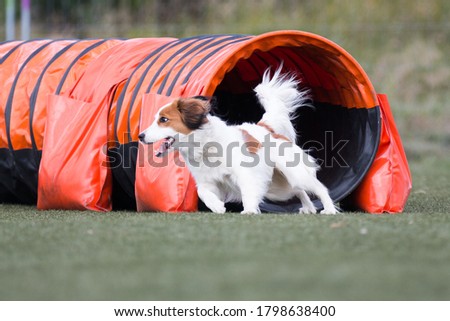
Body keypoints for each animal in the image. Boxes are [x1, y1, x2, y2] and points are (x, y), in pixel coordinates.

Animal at [139, 66, 336, 214]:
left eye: (164, 120)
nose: (140, 136)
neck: (205, 147)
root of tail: (268, 128)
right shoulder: (207, 180)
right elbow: (202, 192)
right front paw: (217, 206)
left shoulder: (246, 173)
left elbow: (248, 191)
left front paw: (248, 210)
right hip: (278, 188)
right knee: (299, 190)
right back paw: (309, 208)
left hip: (293, 173)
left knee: (318, 188)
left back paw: (329, 209)